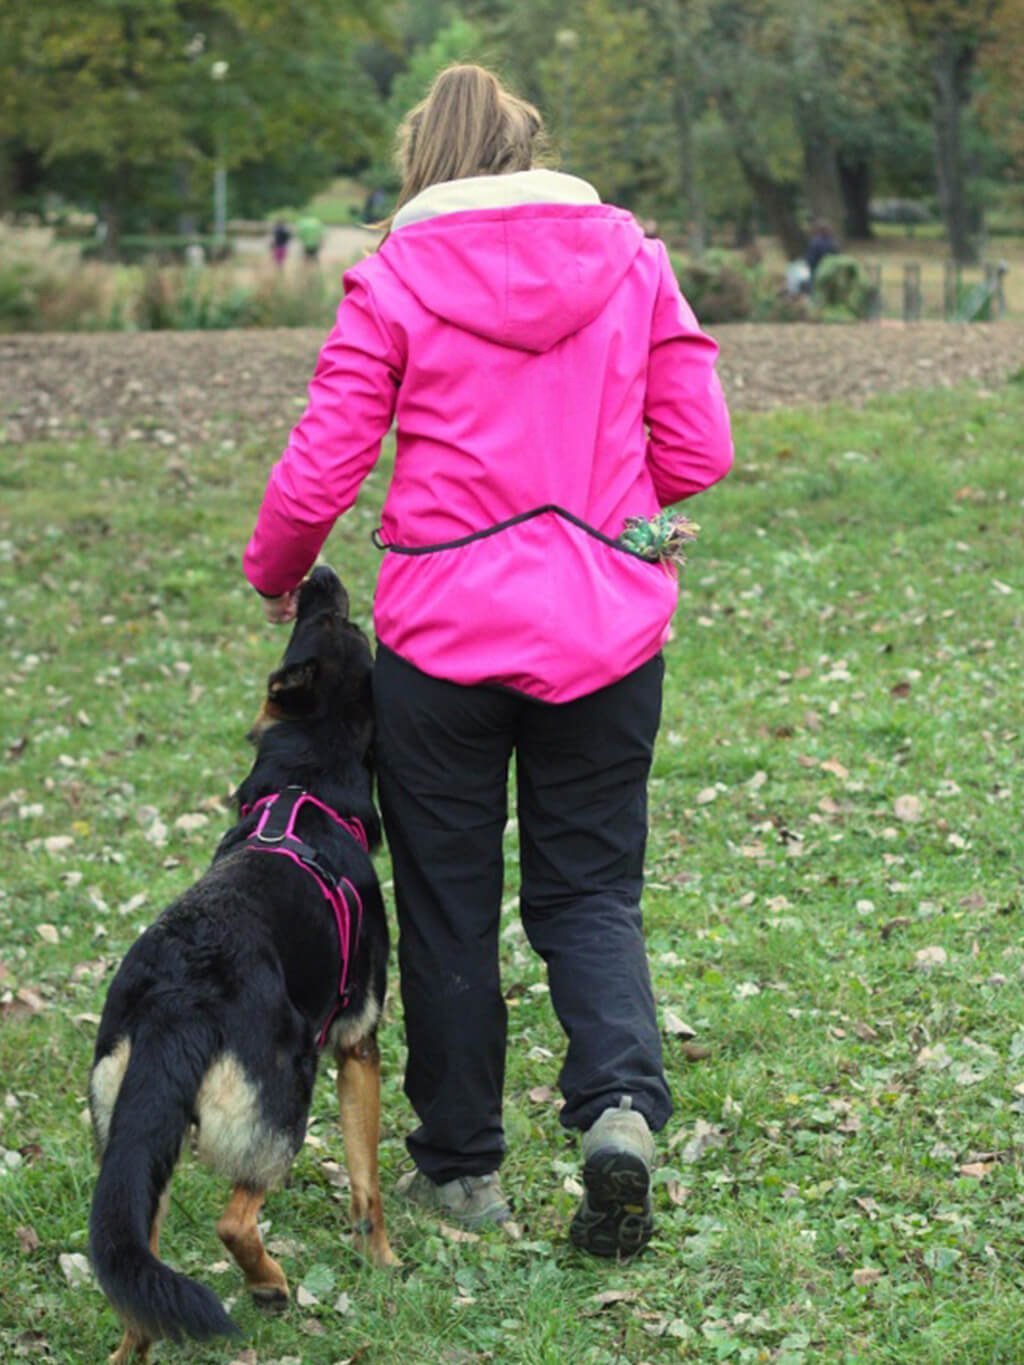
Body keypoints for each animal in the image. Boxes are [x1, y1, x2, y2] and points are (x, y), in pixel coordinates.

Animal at [89, 559, 395, 1359]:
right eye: (343, 623)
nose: (317, 571)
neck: (304, 788)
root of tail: (177, 997)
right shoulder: (357, 1044)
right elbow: (367, 1179)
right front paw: (385, 1261)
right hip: (287, 1096)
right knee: (235, 1219)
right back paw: (270, 1284)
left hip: (139, 1155)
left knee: (136, 1283)